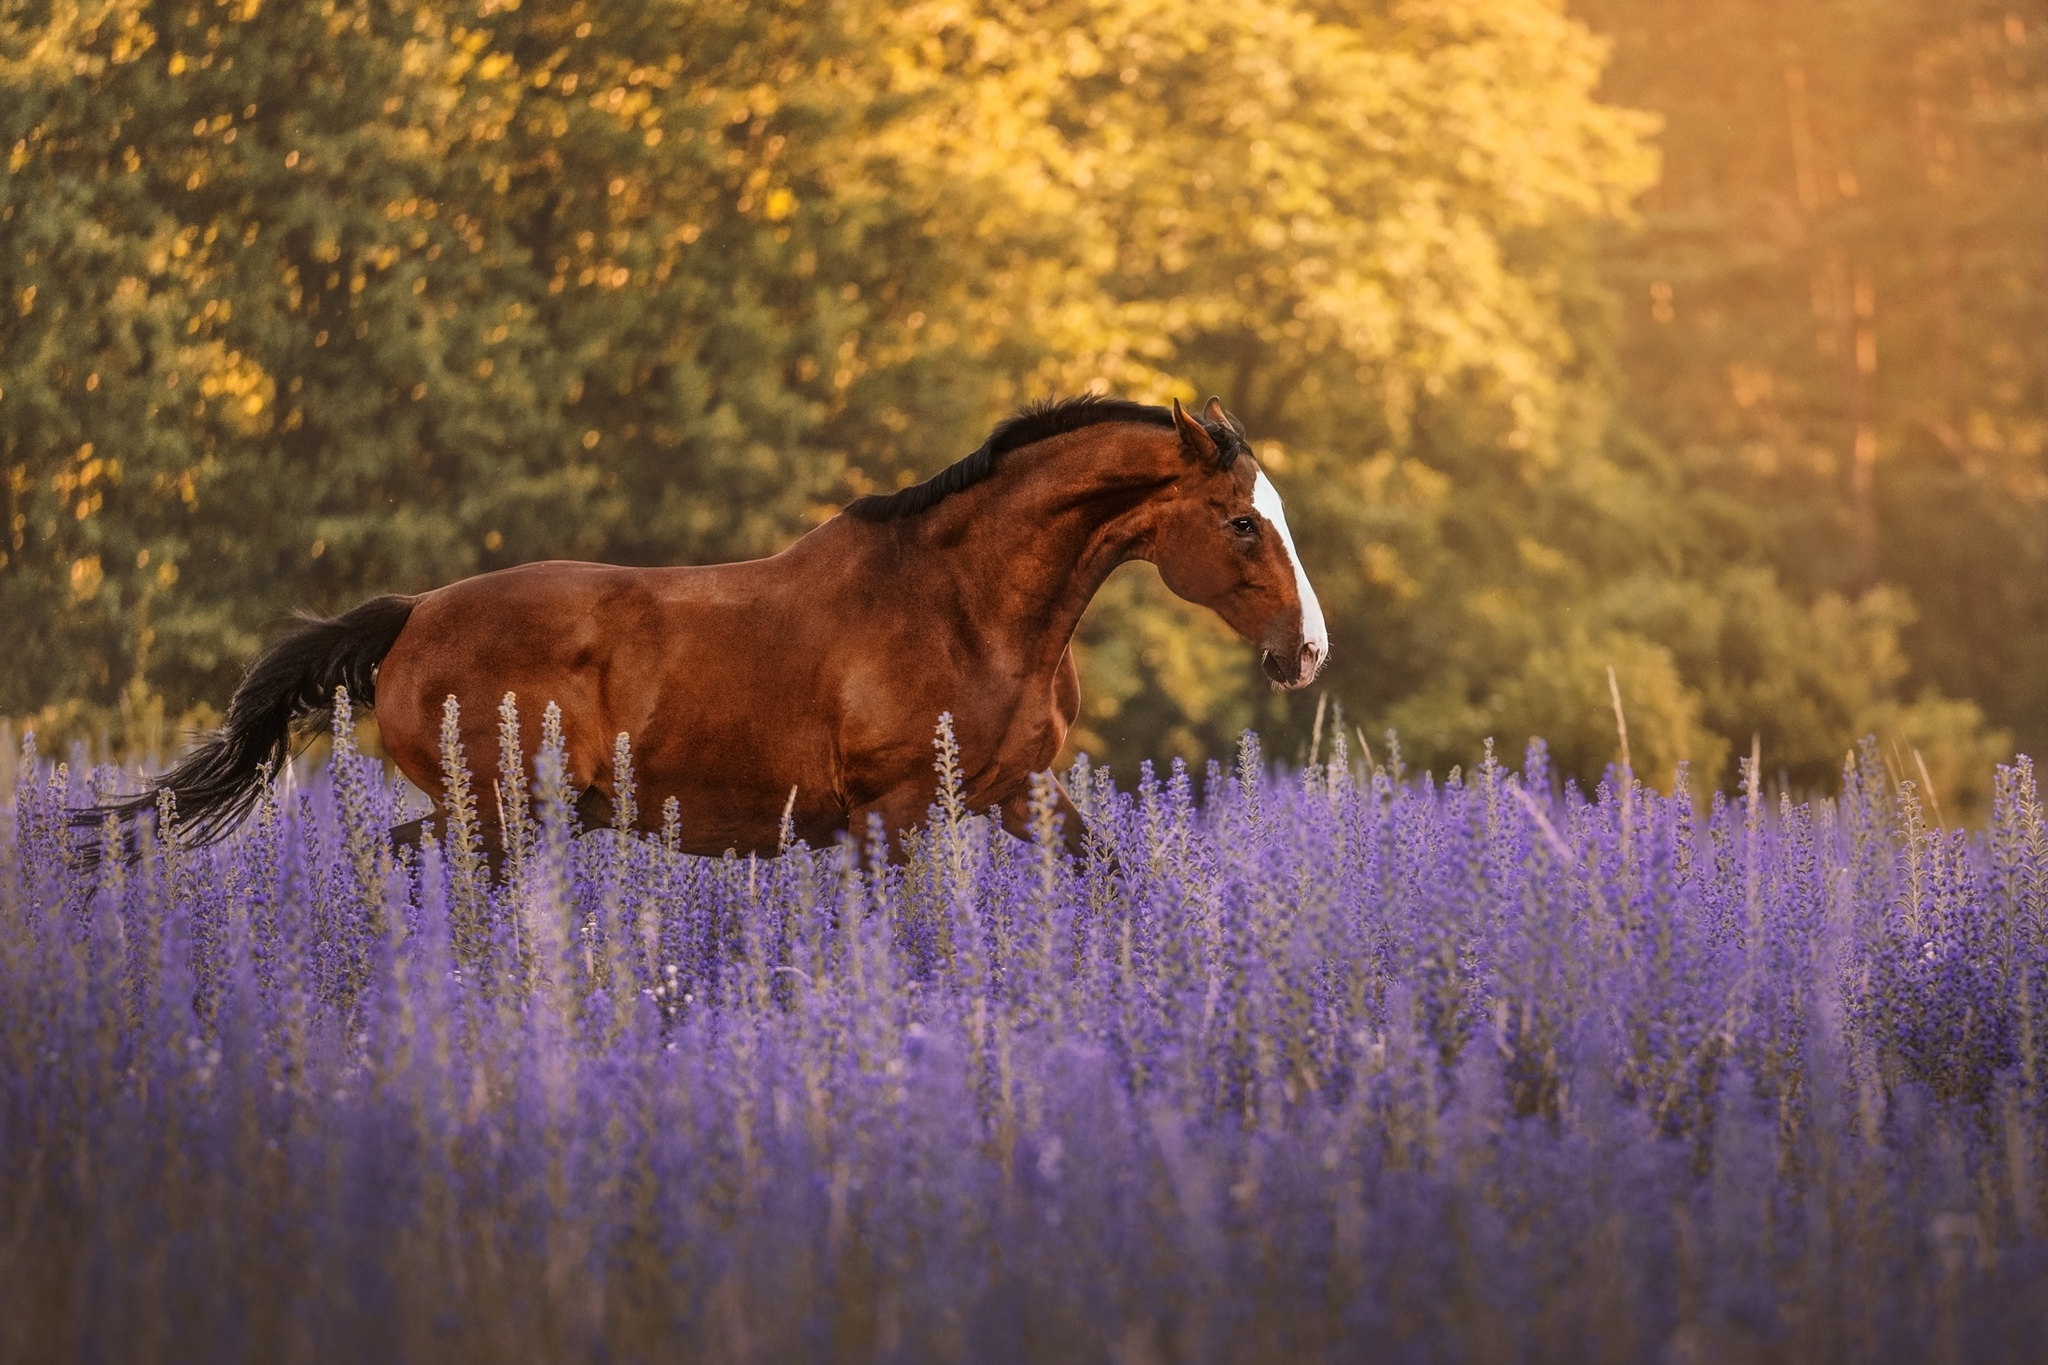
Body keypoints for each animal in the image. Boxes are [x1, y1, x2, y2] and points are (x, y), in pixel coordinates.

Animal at [83, 394, 1327, 859]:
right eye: (1237, 522)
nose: (1305, 652)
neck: (970, 608)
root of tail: (411, 616)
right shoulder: (894, 812)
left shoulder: (1020, 794)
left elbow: (1113, 883)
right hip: (502, 813)